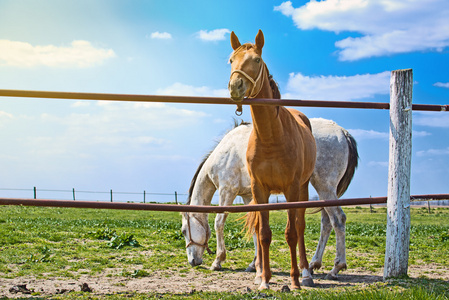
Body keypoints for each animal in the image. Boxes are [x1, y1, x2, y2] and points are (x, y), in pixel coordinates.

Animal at [179, 116, 356, 278]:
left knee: (338, 220)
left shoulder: (227, 190)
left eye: (183, 231)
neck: (225, 151)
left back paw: (336, 268)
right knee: (326, 223)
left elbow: (218, 223)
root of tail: (342, 132)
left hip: (324, 186)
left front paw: (218, 260)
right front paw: (254, 264)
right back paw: (314, 264)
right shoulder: (248, 195)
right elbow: (255, 227)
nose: (192, 261)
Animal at [228, 29, 316, 290]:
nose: (235, 86)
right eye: (231, 60)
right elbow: (264, 233)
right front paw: (265, 279)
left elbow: (291, 233)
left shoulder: (291, 188)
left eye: (257, 60)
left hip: (303, 188)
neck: (271, 136)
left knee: (300, 225)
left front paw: (294, 280)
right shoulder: (260, 189)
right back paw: (260, 274)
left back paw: (306, 273)